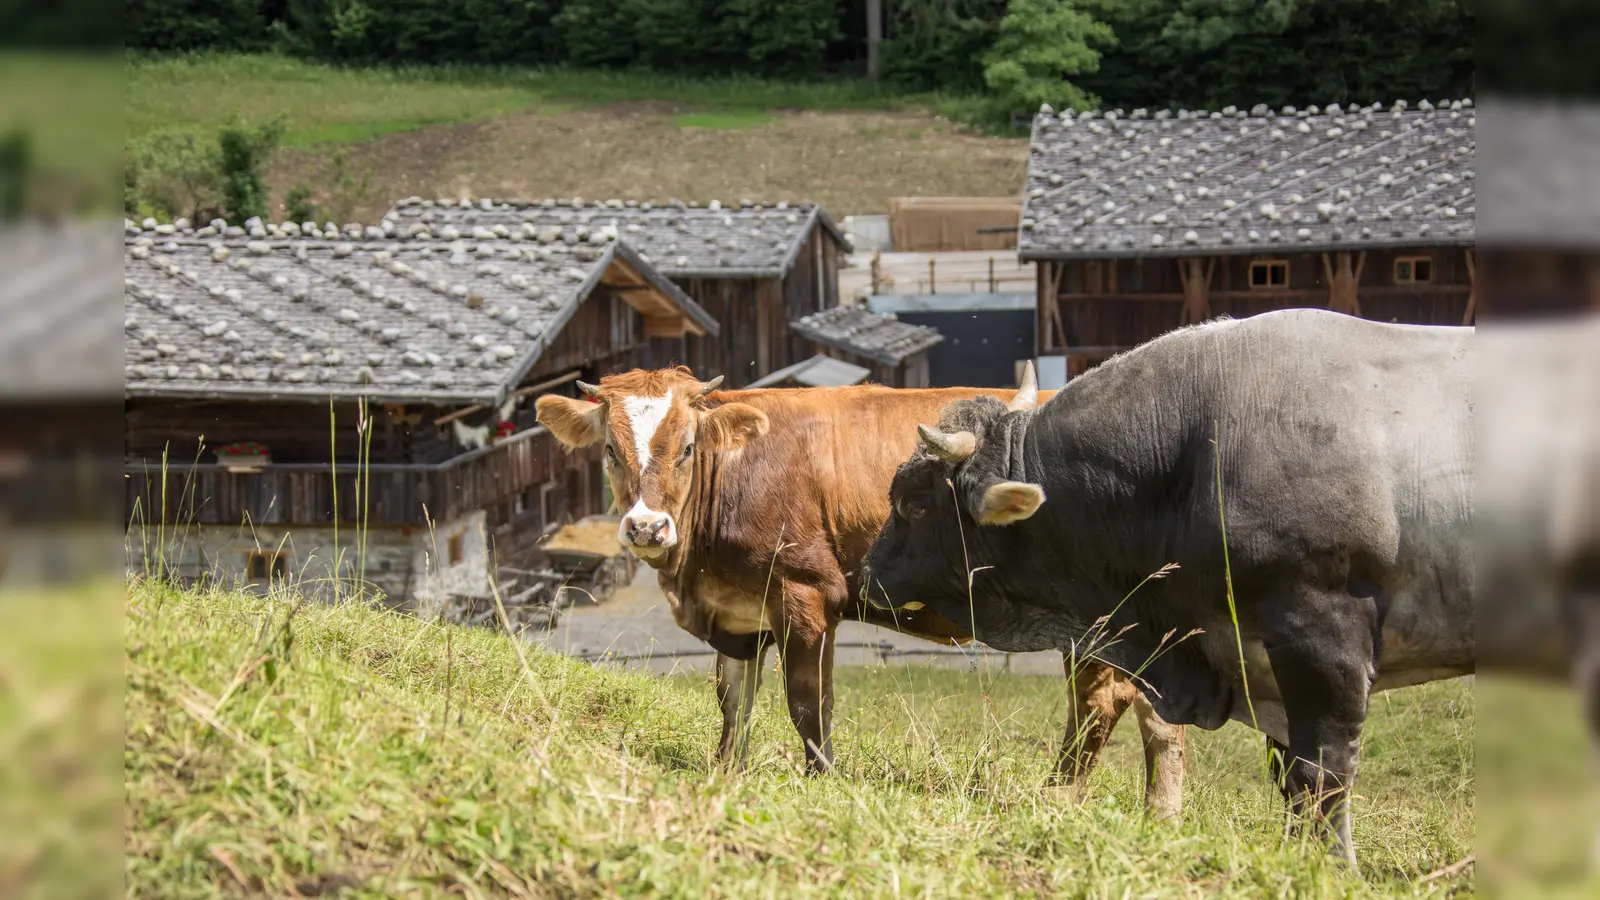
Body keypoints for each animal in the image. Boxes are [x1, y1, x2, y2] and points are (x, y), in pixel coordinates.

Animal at [536, 368, 1188, 816]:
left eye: (688, 448)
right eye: (611, 450)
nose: (646, 527)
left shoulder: (804, 595)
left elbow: (807, 705)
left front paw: (821, 783)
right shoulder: (740, 615)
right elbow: (734, 702)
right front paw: (726, 776)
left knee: (1099, 704)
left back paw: (1056, 799)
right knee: (1159, 717)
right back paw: (1160, 817)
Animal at [861, 309, 1474, 865]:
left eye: (913, 501)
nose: (865, 573)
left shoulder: (1324, 637)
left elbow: (1321, 775)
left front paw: (1330, 869)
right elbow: (1289, 777)